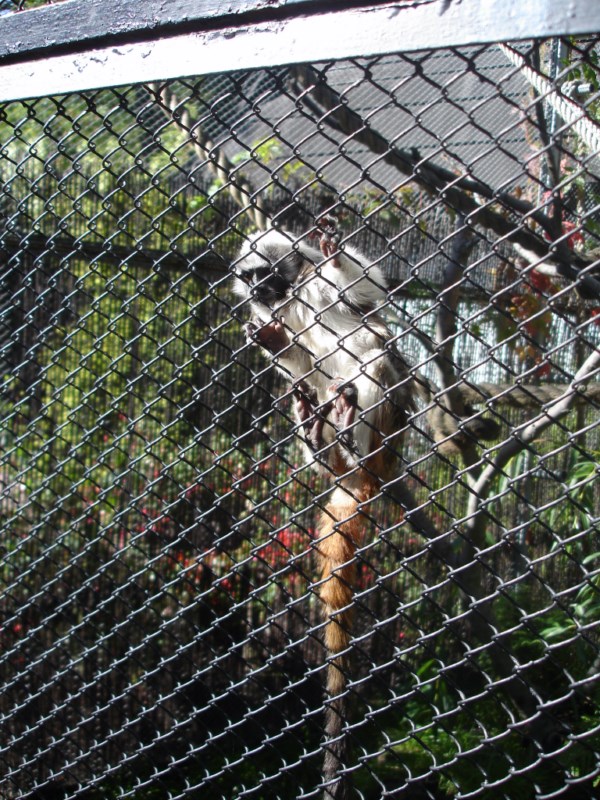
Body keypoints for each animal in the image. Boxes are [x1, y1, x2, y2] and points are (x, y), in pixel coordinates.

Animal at [233, 217, 417, 797]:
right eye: (248, 278)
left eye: (263, 273)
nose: (256, 291)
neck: (289, 297)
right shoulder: (268, 316)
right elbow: (288, 354)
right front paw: (274, 340)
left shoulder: (316, 288)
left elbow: (365, 296)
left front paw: (337, 255)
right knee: (308, 381)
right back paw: (322, 446)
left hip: (389, 421)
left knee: (372, 353)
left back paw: (350, 435)